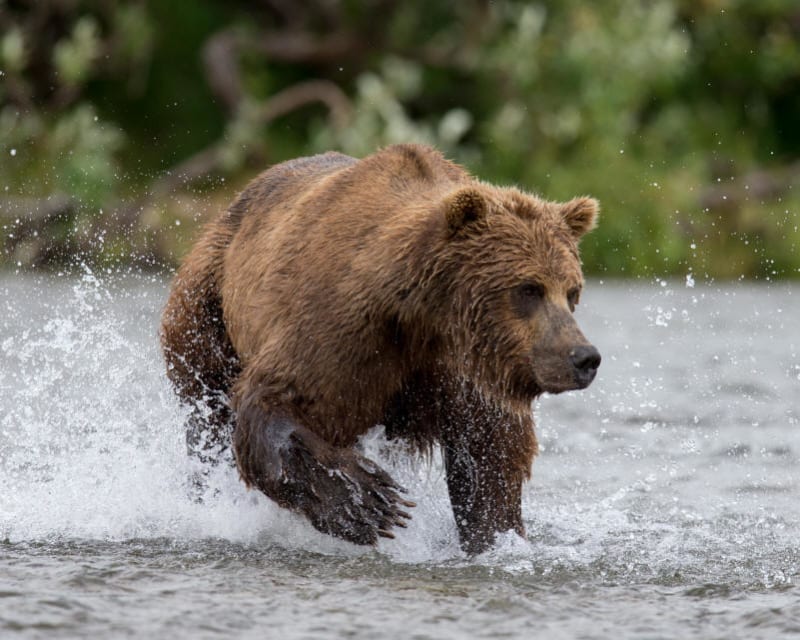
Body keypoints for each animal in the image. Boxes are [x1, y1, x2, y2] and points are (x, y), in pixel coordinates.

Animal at [160, 143, 600, 554]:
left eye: (572, 291)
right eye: (528, 289)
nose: (584, 357)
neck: (423, 313)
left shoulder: (465, 370)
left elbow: (489, 457)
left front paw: (494, 535)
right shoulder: (341, 331)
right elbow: (274, 402)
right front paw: (368, 502)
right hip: (207, 305)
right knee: (207, 415)